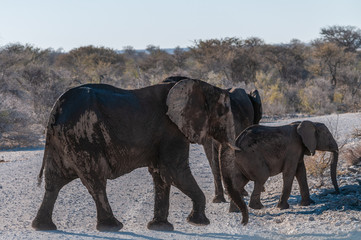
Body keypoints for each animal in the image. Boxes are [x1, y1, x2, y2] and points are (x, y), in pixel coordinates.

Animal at [31, 79, 248, 232]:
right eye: (222, 112)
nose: (241, 220)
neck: (199, 85)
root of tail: (56, 107)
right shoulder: (172, 130)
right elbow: (174, 170)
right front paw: (199, 223)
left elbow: (160, 174)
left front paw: (160, 227)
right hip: (83, 137)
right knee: (95, 180)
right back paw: (113, 227)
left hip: (63, 140)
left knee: (54, 181)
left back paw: (43, 227)